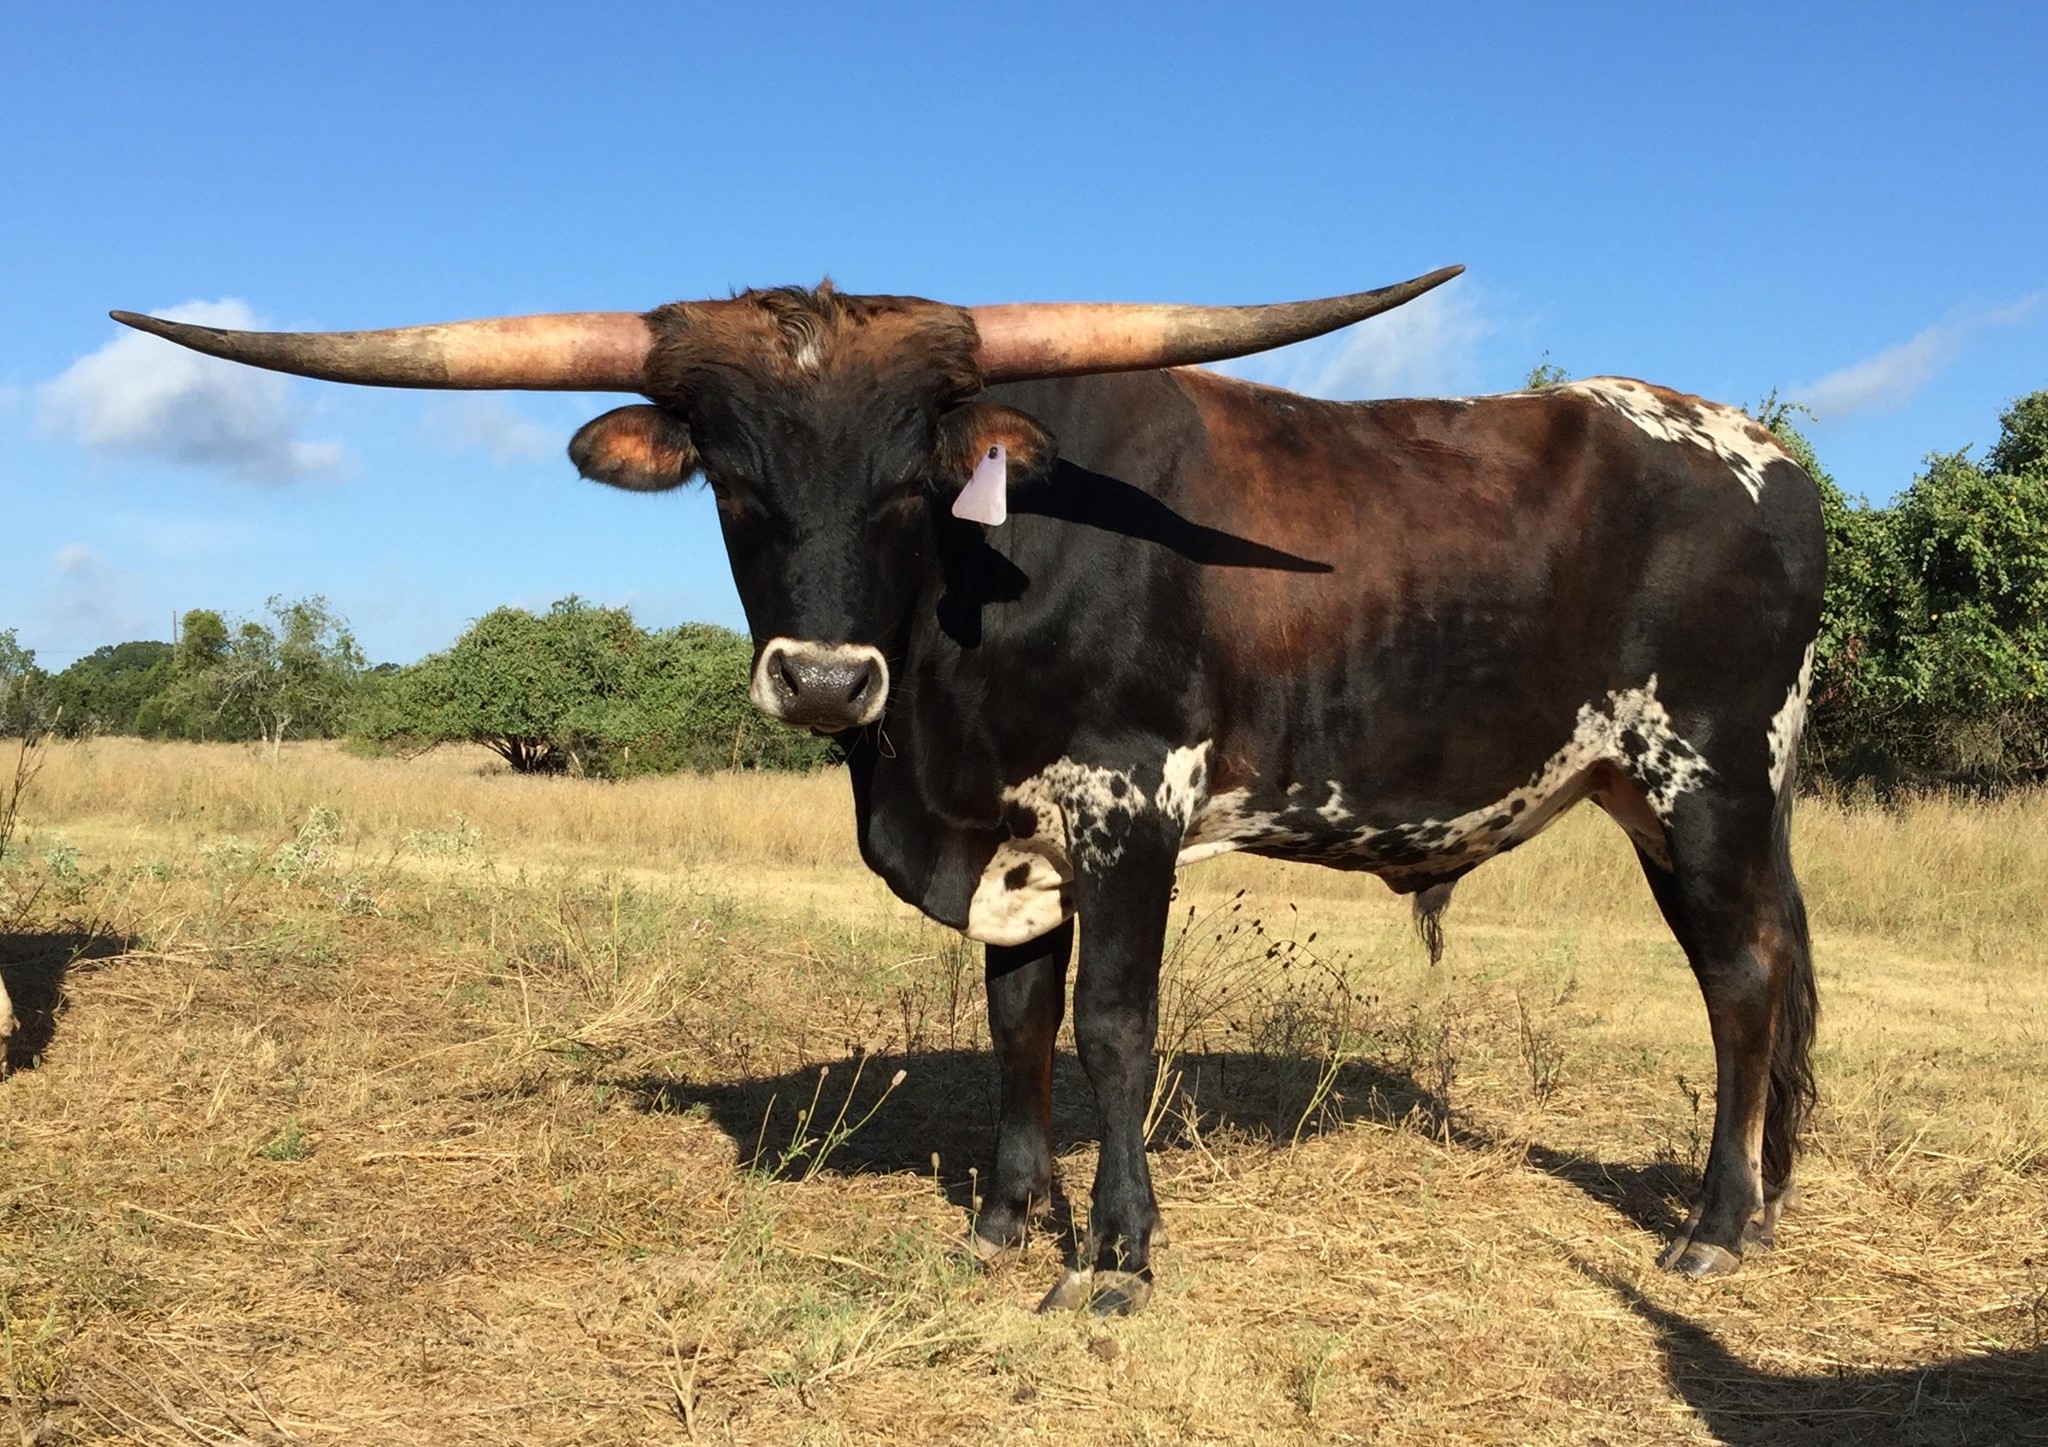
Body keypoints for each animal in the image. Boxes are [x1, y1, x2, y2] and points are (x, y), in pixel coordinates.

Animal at [114, 269, 1825, 1315]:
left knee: (1742, 982)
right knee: (1762, 975)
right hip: (1675, 791)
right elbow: (1017, 1019)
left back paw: (1715, 1225)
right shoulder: (1009, 831)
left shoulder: (1130, 803)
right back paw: (1760, 1201)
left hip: (1705, 776)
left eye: (908, 482)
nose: (821, 680)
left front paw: (1116, 1254)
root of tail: (1762, 452)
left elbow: (1117, 1023)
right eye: (733, 478)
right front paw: (1004, 1220)